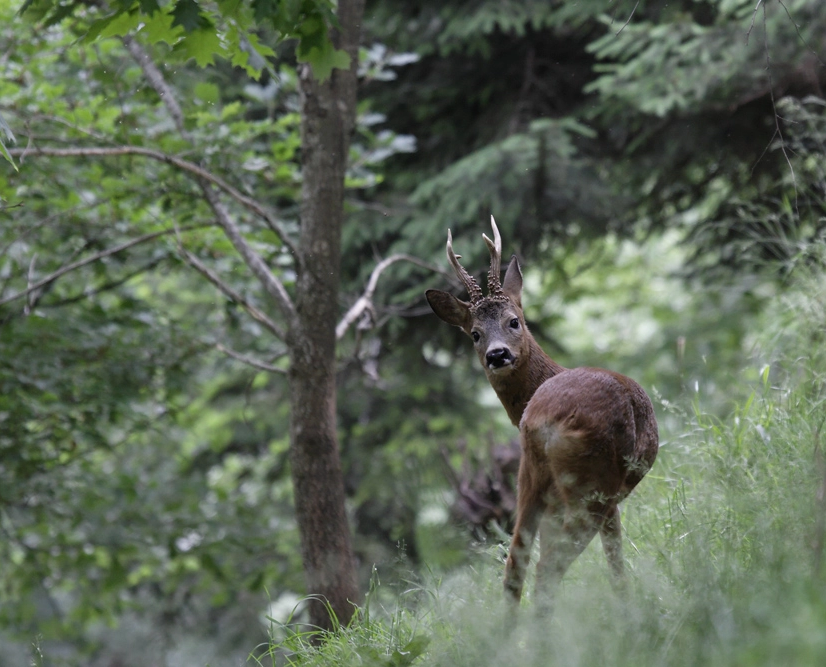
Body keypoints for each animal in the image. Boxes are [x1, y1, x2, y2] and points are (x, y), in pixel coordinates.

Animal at [424, 217, 656, 612]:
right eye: (474, 333)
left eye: (514, 320)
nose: (497, 355)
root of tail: (543, 422)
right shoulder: (609, 498)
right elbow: (615, 558)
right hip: (591, 484)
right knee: (547, 567)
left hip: (531, 479)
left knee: (514, 567)